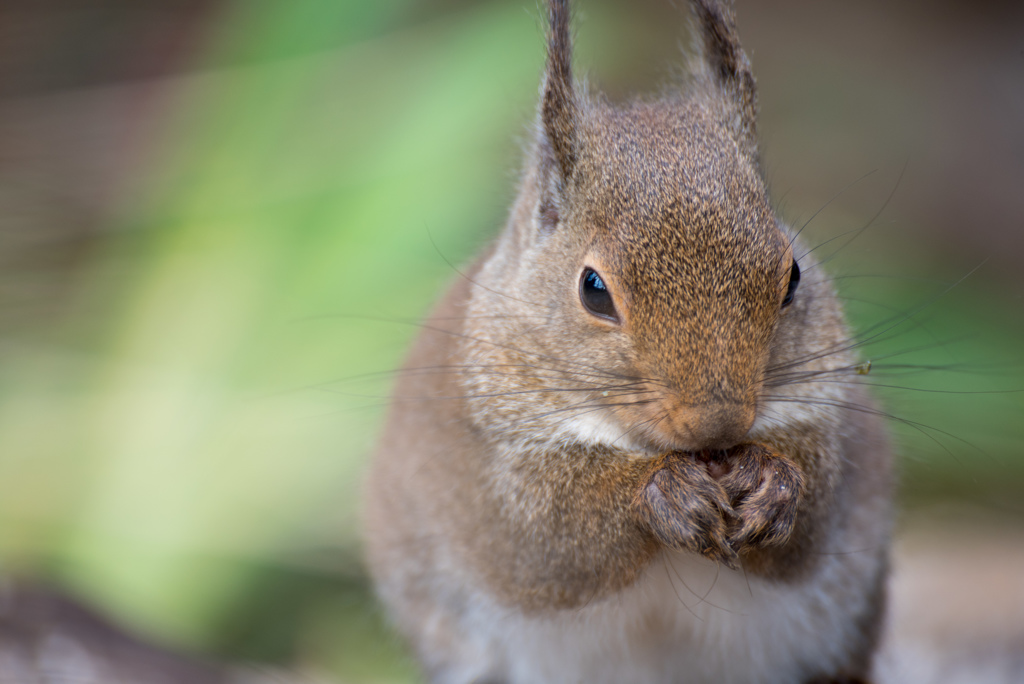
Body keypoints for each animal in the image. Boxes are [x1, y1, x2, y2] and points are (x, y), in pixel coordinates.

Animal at [364, 1, 892, 684]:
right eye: (592, 289)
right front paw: (663, 492)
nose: (719, 421)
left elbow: (811, 515)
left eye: (793, 275)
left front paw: (773, 483)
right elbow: (556, 536)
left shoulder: (830, 427)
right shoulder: (493, 475)